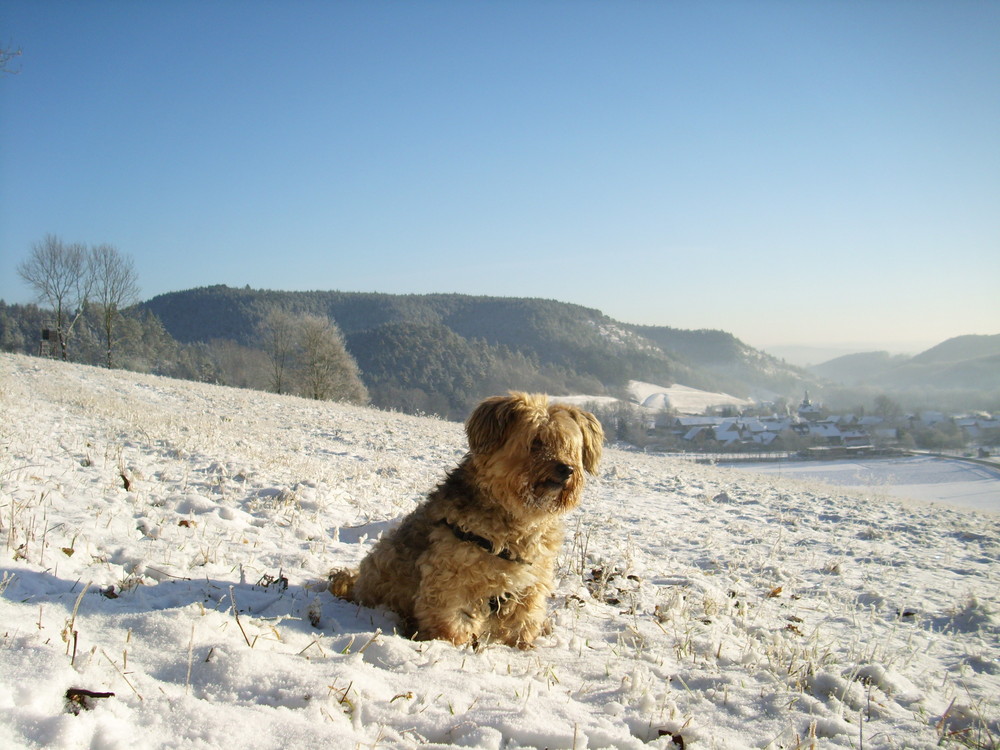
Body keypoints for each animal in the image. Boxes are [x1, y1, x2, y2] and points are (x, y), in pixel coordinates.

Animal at [332, 396, 604, 648]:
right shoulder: (451, 577)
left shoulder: (531, 583)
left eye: (569, 445)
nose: (566, 469)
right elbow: (451, 618)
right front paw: (450, 645)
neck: (516, 520)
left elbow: (522, 620)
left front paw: (521, 646)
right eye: (536, 441)